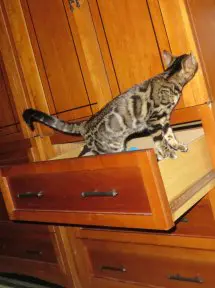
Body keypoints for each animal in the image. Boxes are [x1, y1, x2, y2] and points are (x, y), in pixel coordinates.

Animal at [22, 51, 197, 161]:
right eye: (195, 63)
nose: (197, 60)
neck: (168, 76)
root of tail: (85, 124)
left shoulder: (164, 120)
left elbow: (170, 136)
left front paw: (177, 146)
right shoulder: (153, 120)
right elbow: (160, 140)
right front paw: (167, 153)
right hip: (111, 149)